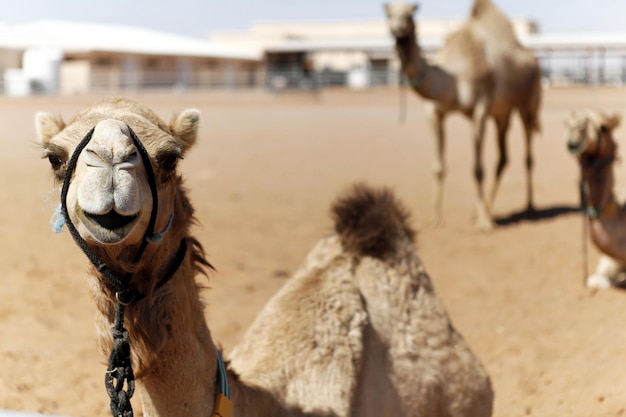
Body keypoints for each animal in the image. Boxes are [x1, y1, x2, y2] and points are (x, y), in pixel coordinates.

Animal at [382, 0, 540, 231]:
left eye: (409, 14)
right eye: (389, 14)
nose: (397, 29)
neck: (453, 78)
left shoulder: (480, 110)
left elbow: (478, 169)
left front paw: (484, 224)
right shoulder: (435, 113)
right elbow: (438, 167)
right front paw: (436, 218)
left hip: (528, 103)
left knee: (528, 153)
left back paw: (529, 206)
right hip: (502, 114)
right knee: (503, 157)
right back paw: (483, 210)